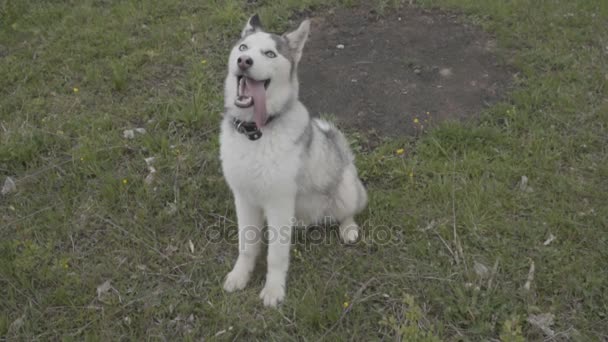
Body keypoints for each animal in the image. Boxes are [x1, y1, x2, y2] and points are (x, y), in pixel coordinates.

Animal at [221, 15, 368, 308]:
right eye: (243, 48)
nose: (244, 62)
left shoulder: (278, 202)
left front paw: (274, 290)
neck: (256, 133)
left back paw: (348, 228)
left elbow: (276, 255)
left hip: (346, 187)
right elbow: (247, 245)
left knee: (346, 213)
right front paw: (240, 275)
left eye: (270, 53)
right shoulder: (243, 198)